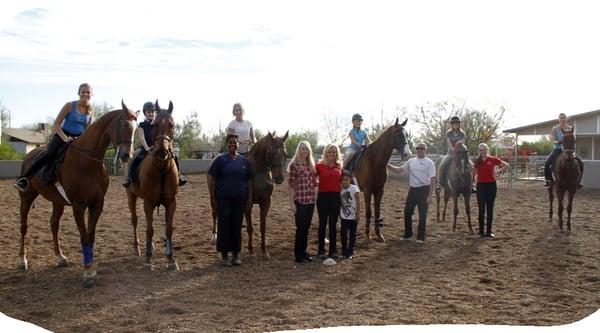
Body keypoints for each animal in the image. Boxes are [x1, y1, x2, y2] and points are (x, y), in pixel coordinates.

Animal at [17, 102, 137, 286]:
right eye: (124, 124)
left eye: (136, 128)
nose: (126, 155)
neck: (87, 161)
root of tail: (29, 155)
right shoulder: (78, 206)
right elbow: (84, 236)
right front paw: (87, 273)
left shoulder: (97, 204)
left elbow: (91, 236)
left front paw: (91, 269)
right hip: (26, 197)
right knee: (24, 227)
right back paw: (22, 261)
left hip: (57, 202)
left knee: (53, 225)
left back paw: (60, 257)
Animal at [125, 100, 179, 270]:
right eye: (155, 124)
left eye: (172, 124)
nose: (162, 151)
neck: (161, 169)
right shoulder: (148, 203)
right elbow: (149, 230)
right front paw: (148, 260)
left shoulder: (171, 203)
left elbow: (168, 229)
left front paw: (171, 259)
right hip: (131, 196)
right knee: (134, 220)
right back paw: (137, 247)